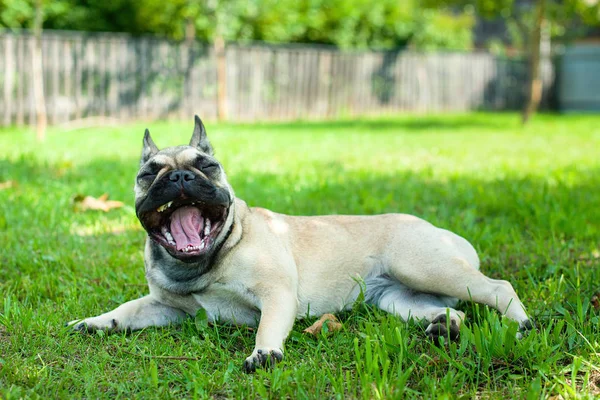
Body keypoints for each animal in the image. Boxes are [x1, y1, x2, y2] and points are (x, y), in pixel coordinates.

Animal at [71, 115, 536, 372]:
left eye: (208, 166)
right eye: (149, 174)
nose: (181, 176)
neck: (203, 264)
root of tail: (441, 231)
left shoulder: (276, 293)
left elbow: (267, 325)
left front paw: (264, 353)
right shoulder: (165, 307)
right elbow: (127, 310)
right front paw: (97, 322)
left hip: (424, 265)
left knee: (498, 288)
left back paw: (521, 324)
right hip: (397, 297)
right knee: (446, 310)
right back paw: (443, 326)